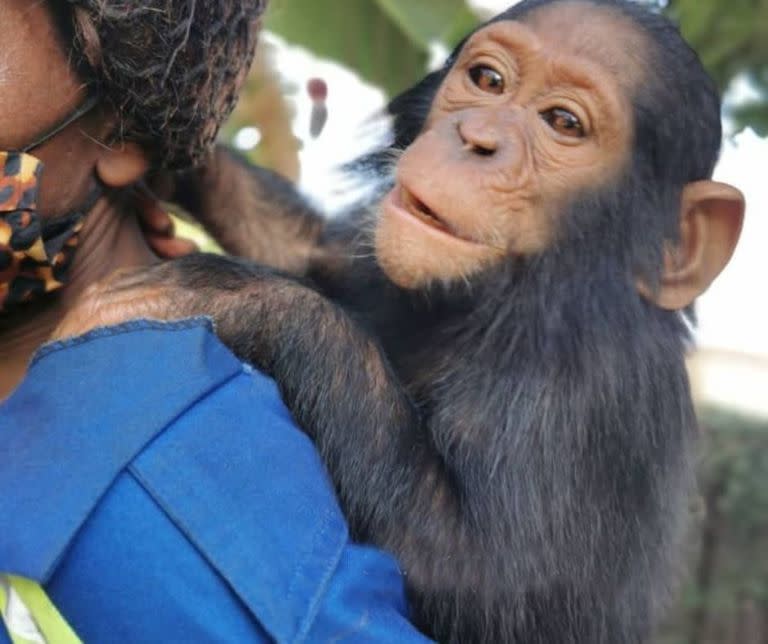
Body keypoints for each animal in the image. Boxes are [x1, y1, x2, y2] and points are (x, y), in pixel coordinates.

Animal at [57, 0, 748, 640]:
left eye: (564, 123)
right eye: (489, 81)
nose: (478, 139)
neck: (500, 307)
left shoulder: (581, 400)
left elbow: (477, 580)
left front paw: (221, 291)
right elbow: (319, 251)